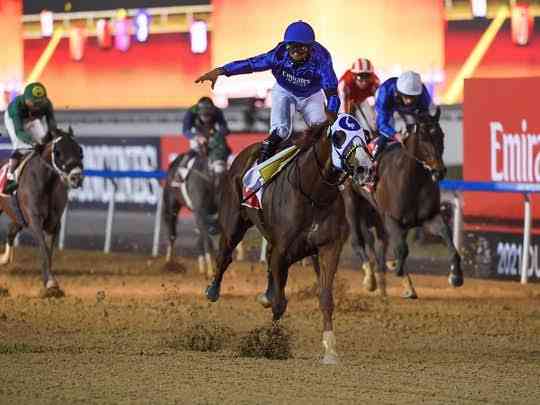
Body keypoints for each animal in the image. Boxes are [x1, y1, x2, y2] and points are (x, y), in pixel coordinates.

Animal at [0, 127, 84, 297]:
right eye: (57, 152)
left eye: (80, 151)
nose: (76, 177)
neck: (46, 183)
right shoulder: (34, 220)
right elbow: (43, 248)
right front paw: (50, 283)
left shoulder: (54, 223)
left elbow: (49, 251)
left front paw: (50, 283)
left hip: (18, 216)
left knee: (11, 231)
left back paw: (4, 259)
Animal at [162, 126, 226, 278]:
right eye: (212, 150)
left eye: (227, 151)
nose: (221, 172)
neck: (210, 180)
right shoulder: (200, 210)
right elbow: (207, 237)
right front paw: (211, 269)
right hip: (172, 205)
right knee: (172, 232)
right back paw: (169, 264)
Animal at [204, 120, 369, 364]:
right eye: (338, 136)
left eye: (365, 134)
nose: (364, 167)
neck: (313, 194)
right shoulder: (283, 252)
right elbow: (280, 303)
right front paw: (270, 344)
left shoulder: (329, 247)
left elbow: (325, 297)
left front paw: (330, 350)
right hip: (233, 223)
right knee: (225, 254)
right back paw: (213, 290)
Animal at [353, 107, 463, 298]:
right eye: (423, 138)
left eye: (441, 135)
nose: (439, 171)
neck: (412, 181)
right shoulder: (391, 218)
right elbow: (402, 249)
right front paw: (395, 267)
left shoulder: (429, 217)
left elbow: (448, 239)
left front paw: (455, 276)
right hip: (350, 201)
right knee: (358, 240)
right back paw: (370, 280)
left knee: (380, 242)